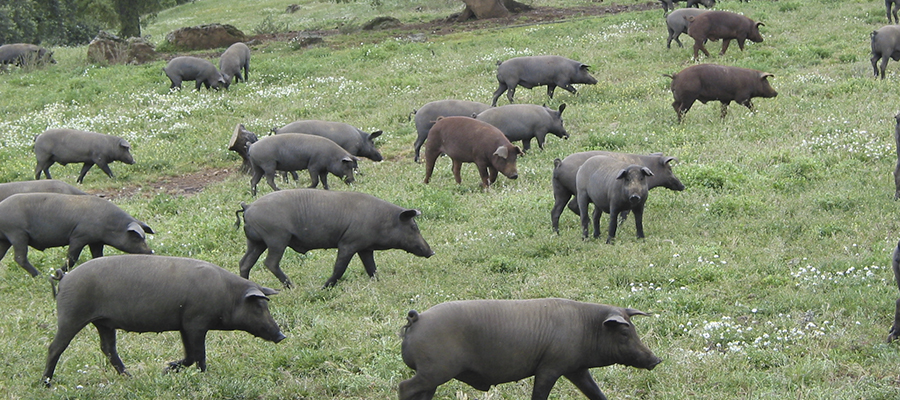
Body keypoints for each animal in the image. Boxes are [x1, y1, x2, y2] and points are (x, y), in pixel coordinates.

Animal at [0, 192, 153, 276]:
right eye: (136, 238)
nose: (151, 251)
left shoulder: (96, 241)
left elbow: (97, 255)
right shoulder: (79, 236)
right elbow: (72, 257)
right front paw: (59, 271)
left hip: (5, 239)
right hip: (16, 233)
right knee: (20, 258)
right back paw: (39, 275)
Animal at [39, 255, 282, 386]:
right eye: (259, 307)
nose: (281, 335)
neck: (227, 295)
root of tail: (65, 278)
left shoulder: (184, 324)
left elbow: (192, 355)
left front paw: (170, 369)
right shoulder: (196, 321)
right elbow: (197, 354)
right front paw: (197, 375)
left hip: (104, 322)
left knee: (108, 348)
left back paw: (130, 377)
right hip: (71, 316)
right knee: (55, 347)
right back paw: (46, 383)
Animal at [230, 188, 430, 288]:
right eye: (413, 227)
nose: (431, 251)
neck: (381, 219)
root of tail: (248, 207)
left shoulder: (365, 248)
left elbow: (371, 268)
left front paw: (378, 283)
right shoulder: (348, 243)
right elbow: (339, 267)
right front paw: (325, 287)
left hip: (256, 242)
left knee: (244, 262)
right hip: (277, 238)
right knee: (270, 263)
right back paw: (291, 286)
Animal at [400, 296, 660, 400]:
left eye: (633, 329)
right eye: (625, 332)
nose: (656, 360)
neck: (587, 327)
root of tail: (417, 319)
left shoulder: (576, 369)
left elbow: (596, 393)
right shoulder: (550, 367)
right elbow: (539, 394)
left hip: (433, 375)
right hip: (435, 371)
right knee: (404, 387)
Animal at [548, 151, 684, 233]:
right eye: (670, 169)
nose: (682, 186)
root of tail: (559, 164)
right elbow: (624, 214)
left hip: (561, 192)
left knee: (556, 211)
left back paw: (557, 233)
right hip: (578, 192)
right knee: (573, 206)